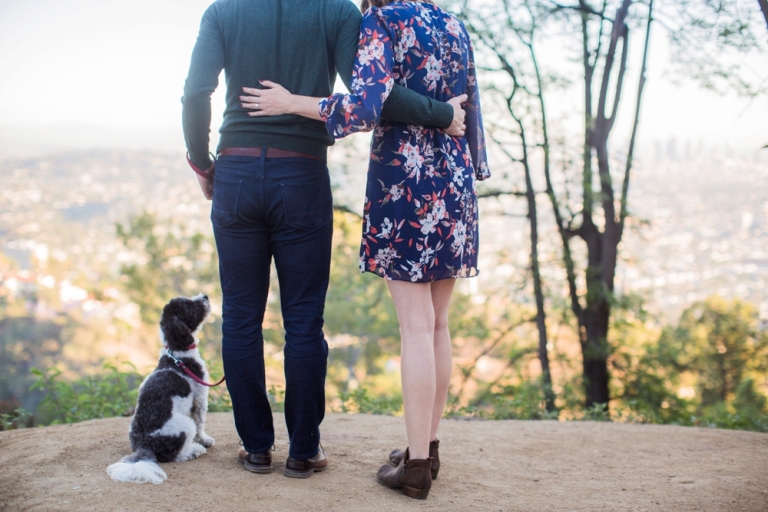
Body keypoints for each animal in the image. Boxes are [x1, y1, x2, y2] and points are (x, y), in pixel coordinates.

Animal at [106, 294, 214, 482]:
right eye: (188, 305)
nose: (205, 296)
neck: (178, 355)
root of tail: (145, 445)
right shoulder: (200, 397)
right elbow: (200, 422)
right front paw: (204, 440)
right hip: (184, 425)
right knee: (178, 455)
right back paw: (194, 450)